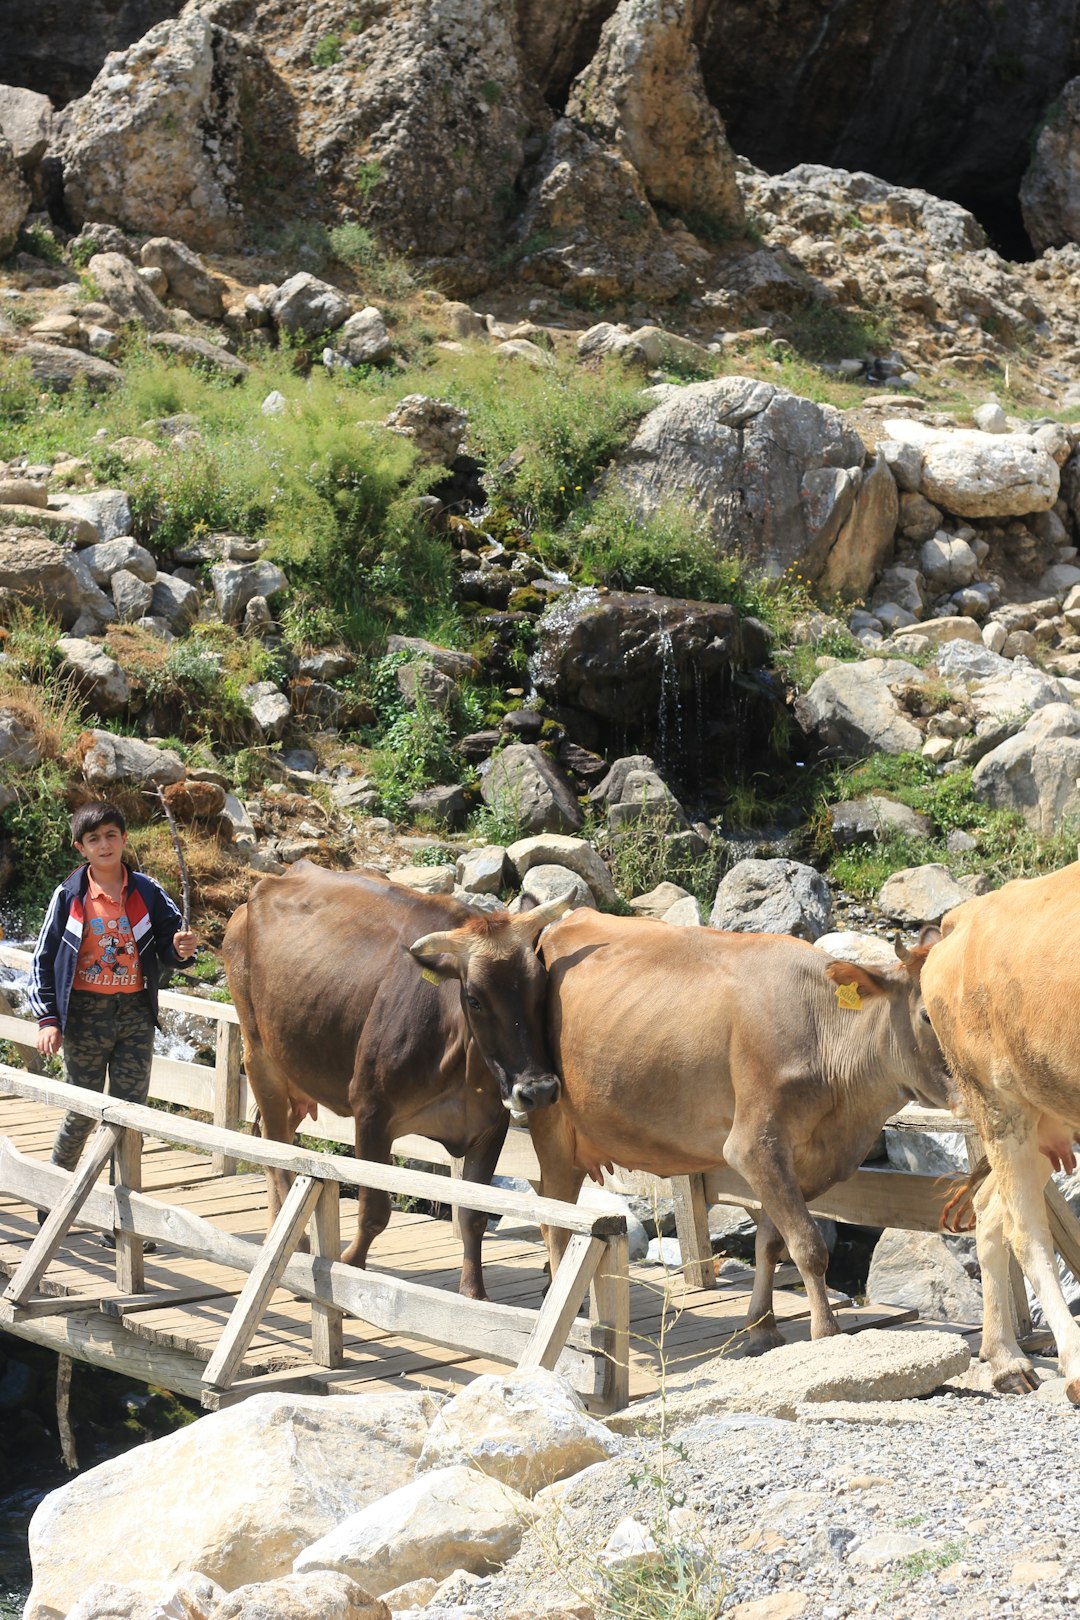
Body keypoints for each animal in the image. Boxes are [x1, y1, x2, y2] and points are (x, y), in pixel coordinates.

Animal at [221, 861, 573, 1302]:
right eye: (474, 998)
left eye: (541, 988)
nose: (538, 1089)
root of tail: (269, 882)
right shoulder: (371, 1114)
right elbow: (374, 1211)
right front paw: (350, 1269)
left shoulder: (490, 1126)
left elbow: (472, 1215)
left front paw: (473, 1294)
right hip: (259, 1056)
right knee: (276, 1154)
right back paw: (298, 1250)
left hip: (297, 1075)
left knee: (276, 1144)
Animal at [531, 913, 945, 1354]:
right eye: (927, 1016)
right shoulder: (754, 1145)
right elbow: (808, 1245)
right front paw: (825, 1332)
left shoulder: (800, 1162)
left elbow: (771, 1243)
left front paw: (762, 1327)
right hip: (551, 1127)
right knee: (553, 1221)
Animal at [919, 861, 1080, 1406]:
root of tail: (963, 916)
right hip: (999, 1103)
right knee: (1025, 1231)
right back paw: (1071, 1366)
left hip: (1045, 1111)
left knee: (990, 1209)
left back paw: (1006, 1359)